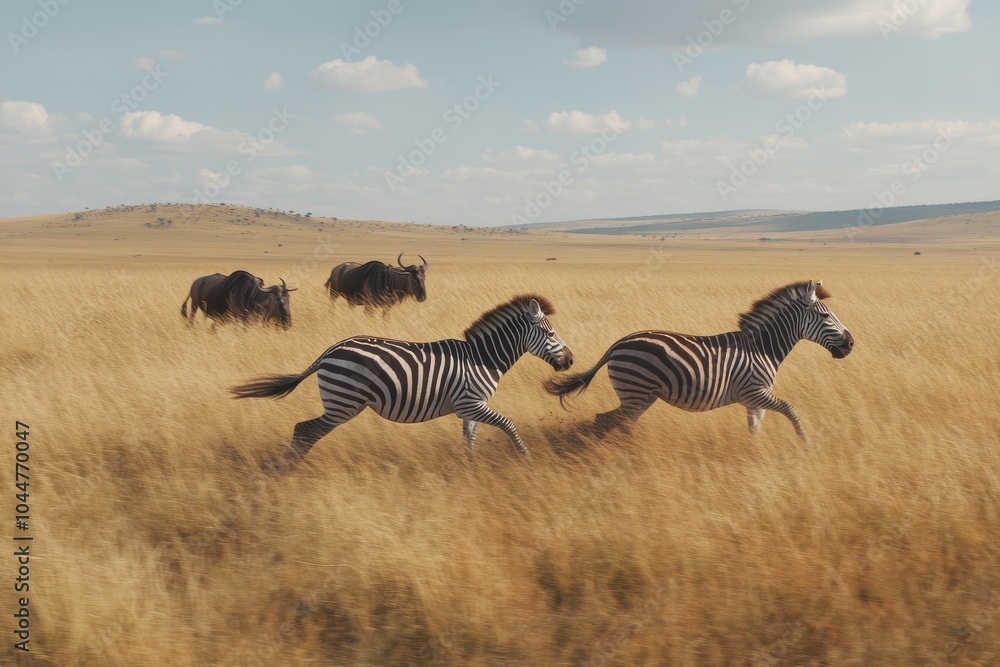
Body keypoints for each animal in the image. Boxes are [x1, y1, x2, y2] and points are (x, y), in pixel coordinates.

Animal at [230, 294, 573, 464]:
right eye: (550, 333)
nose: (570, 360)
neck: (482, 357)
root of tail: (331, 350)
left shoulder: (470, 408)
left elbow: (470, 438)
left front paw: (469, 467)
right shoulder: (471, 402)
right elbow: (508, 424)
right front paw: (526, 459)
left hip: (342, 403)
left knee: (306, 431)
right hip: (343, 403)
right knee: (305, 430)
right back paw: (290, 467)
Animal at [545, 280, 853, 440]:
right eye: (825, 316)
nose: (850, 344)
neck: (763, 348)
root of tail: (618, 344)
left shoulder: (754, 399)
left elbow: (755, 428)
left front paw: (755, 455)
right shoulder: (755, 392)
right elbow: (792, 410)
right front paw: (805, 444)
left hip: (642, 396)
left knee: (615, 421)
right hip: (636, 390)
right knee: (609, 421)